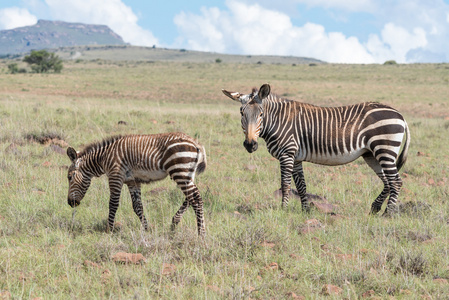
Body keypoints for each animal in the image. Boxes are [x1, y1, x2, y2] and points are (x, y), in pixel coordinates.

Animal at [65, 132, 207, 236]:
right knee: (191, 197)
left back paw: (201, 233)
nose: (70, 203)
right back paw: (175, 222)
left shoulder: (115, 176)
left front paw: (109, 230)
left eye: (69, 177)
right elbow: (137, 206)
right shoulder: (132, 181)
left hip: (179, 170)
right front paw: (146, 228)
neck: (104, 158)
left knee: (195, 198)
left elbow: (113, 204)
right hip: (187, 173)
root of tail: (195, 142)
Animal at [221, 84, 410, 216]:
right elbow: (301, 185)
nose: (250, 145)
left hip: (384, 149)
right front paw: (305, 210)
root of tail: (400, 115)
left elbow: (285, 184)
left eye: (260, 114)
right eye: (242, 113)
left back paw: (388, 214)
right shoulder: (296, 157)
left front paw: (283, 209)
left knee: (396, 181)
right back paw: (375, 208)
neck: (277, 121)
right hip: (371, 154)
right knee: (387, 182)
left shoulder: (287, 154)